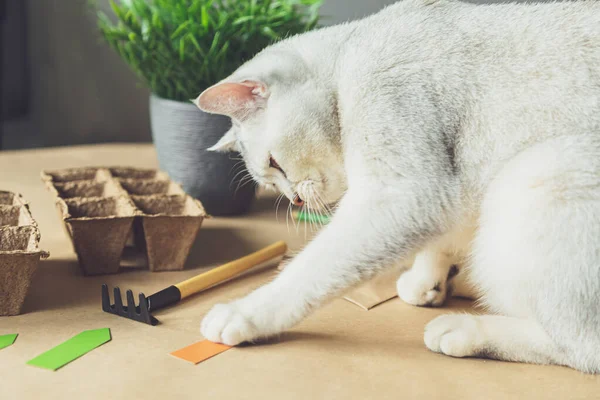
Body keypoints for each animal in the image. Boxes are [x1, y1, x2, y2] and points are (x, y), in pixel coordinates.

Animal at [192, 0, 600, 374]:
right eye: (270, 178)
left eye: (275, 164)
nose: (293, 198)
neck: (350, 57)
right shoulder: (448, 191)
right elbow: (439, 241)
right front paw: (426, 280)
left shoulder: (401, 190)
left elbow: (310, 269)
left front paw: (245, 314)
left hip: (539, 176)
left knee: (581, 348)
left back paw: (465, 331)